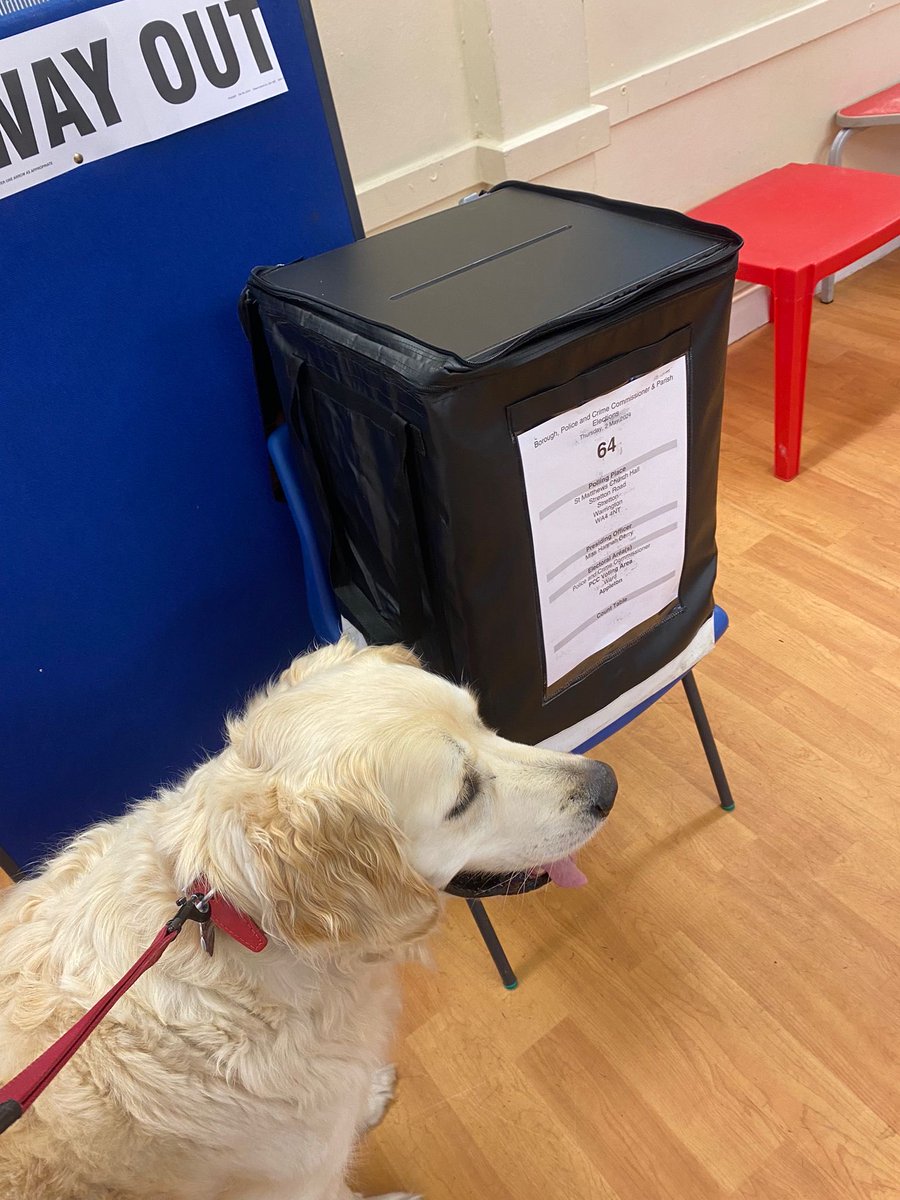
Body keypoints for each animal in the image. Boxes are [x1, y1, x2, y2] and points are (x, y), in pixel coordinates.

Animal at [0, 643, 614, 1195]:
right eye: (463, 795)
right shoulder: (297, 1179)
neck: (246, 926)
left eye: (484, 723)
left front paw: (368, 1097)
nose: (607, 785)